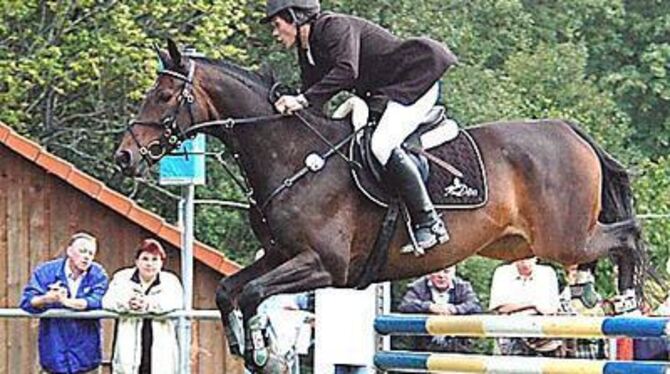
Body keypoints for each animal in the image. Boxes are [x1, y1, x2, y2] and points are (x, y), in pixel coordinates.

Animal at [114, 41, 644, 372]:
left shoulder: (324, 265)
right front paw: (248, 347)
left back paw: (627, 299)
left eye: (164, 95)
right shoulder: (280, 255)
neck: (292, 156)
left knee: (628, 235)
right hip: (524, 243)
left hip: (564, 236)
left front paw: (265, 350)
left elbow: (251, 295)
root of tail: (568, 129)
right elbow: (229, 291)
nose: (125, 156)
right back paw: (593, 293)